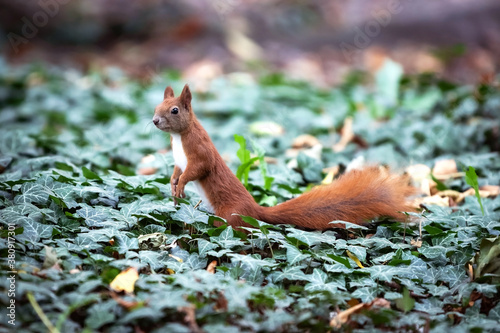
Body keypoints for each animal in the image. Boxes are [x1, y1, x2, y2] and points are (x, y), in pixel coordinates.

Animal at [152, 83, 414, 228]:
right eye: (156, 107)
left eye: (174, 110)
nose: (154, 120)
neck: (179, 138)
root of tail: (255, 211)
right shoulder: (179, 160)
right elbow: (177, 170)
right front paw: (173, 184)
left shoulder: (200, 152)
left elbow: (198, 169)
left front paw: (182, 184)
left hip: (230, 215)